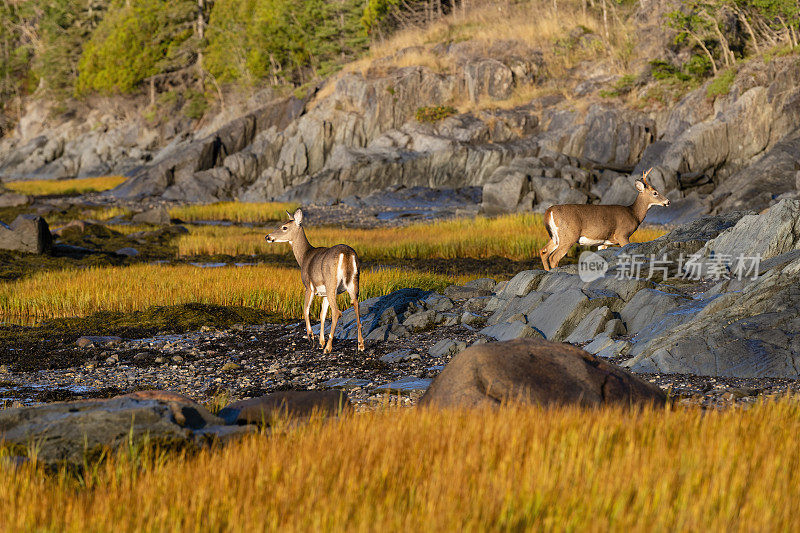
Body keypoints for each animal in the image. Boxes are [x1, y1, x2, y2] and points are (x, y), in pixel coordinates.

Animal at [266, 208, 366, 354]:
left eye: (284, 227)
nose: (268, 237)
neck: (304, 257)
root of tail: (347, 255)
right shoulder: (323, 293)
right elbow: (322, 314)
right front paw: (320, 342)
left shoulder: (309, 286)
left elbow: (306, 309)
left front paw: (312, 337)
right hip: (354, 282)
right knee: (356, 306)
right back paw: (360, 345)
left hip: (331, 282)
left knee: (336, 312)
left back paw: (328, 348)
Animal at [540, 168, 672, 270]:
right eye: (655, 192)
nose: (668, 201)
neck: (633, 213)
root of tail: (549, 211)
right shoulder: (622, 234)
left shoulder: (603, 242)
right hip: (569, 235)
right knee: (554, 257)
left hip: (556, 236)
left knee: (543, 251)